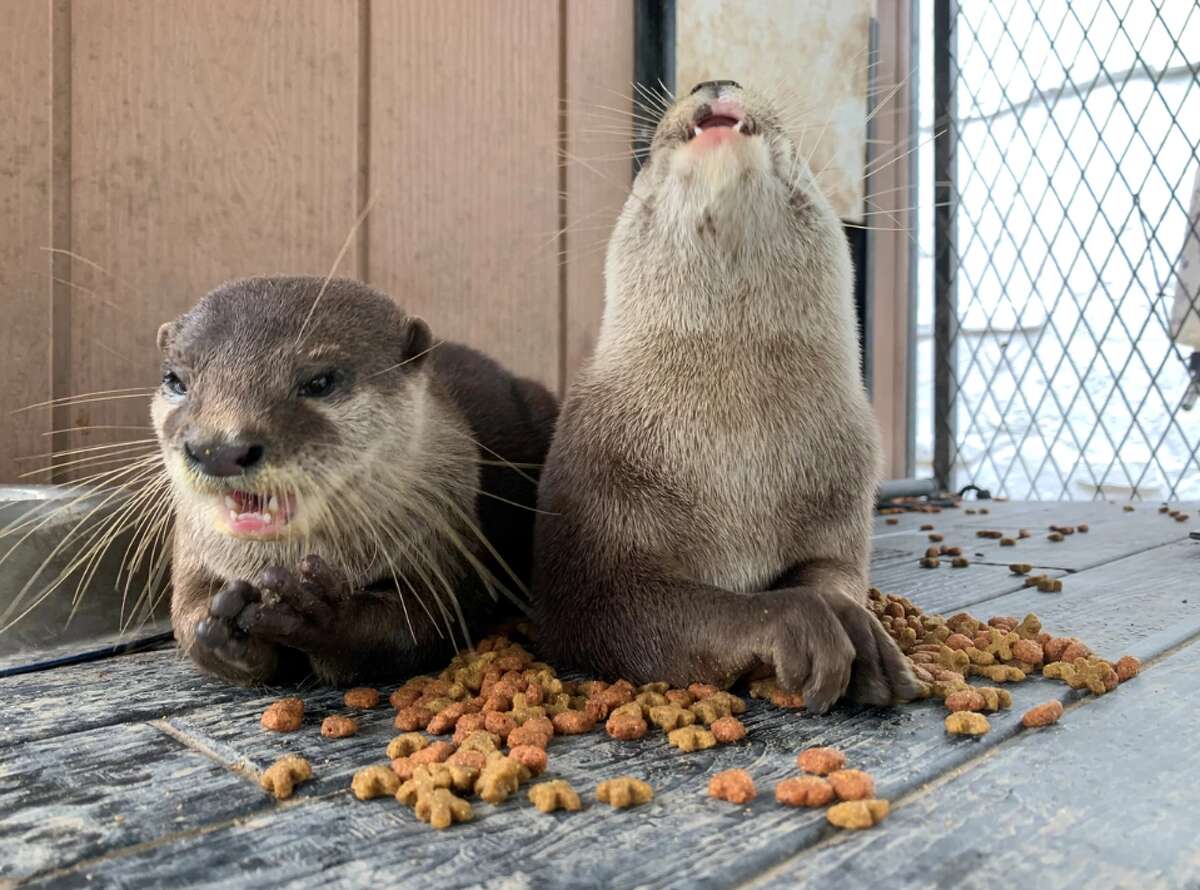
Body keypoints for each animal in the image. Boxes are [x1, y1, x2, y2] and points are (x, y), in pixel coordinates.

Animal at [151, 275, 556, 686]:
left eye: (320, 382)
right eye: (176, 380)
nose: (217, 448)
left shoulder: (450, 547)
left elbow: (419, 626)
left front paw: (322, 615)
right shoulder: (192, 552)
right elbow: (187, 619)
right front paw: (221, 619)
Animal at [532, 80, 916, 714]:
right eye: (645, 164)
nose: (714, 82)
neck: (736, 464)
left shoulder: (844, 490)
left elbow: (835, 574)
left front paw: (862, 630)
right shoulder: (589, 516)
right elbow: (640, 609)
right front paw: (798, 622)